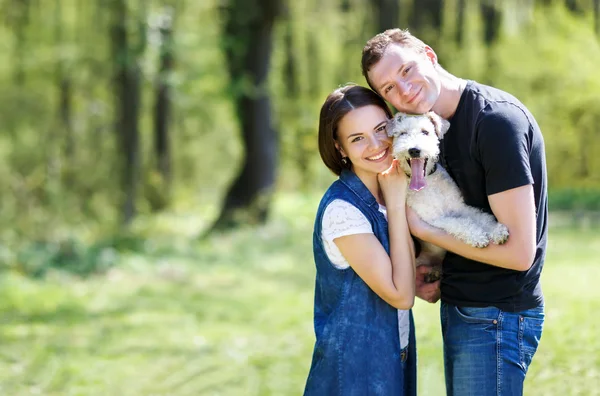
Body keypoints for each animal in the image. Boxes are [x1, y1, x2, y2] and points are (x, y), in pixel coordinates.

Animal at [386, 111, 508, 282]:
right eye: (402, 133)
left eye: (425, 132)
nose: (414, 150)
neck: (429, 182)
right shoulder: (435, 219)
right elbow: (460, 223)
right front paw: (478, 237)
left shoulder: (459, 207)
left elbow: (481, 217)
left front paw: (497, 231)